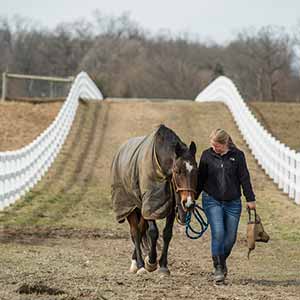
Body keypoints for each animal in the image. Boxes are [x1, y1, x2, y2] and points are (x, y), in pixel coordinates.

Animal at [111, 123, 198, 274]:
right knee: (135, 232)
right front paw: (151, 262)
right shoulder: (150, 205)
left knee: (140, 230)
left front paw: (163, 266)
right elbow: (153, 232)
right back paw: (139, 265)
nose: (188, 203)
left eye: (196, 170)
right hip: (131, 207)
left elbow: (167, 233)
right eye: (177, 171)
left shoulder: (170, 207)